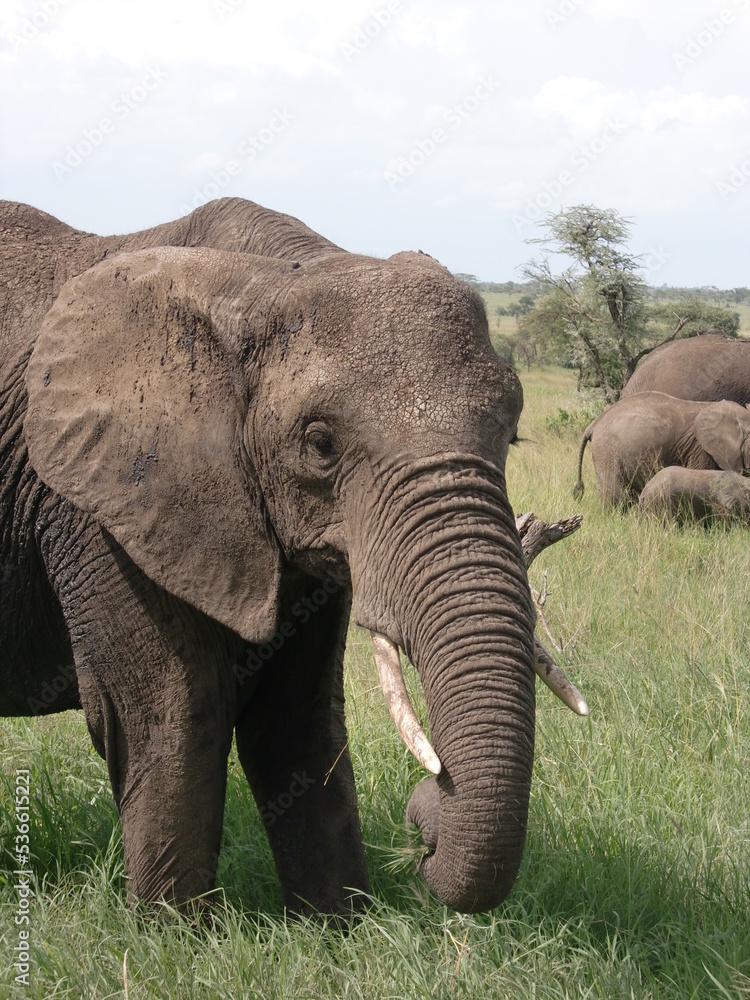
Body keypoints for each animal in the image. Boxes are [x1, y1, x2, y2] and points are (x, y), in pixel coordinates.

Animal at [0, 197, 584, 917]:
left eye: (513, 432)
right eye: (320, 442)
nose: (424, 823)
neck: (264, 281)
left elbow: (297, 717)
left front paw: (339, 926)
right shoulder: (101, 508)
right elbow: (169, 713)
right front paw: (175, 934)